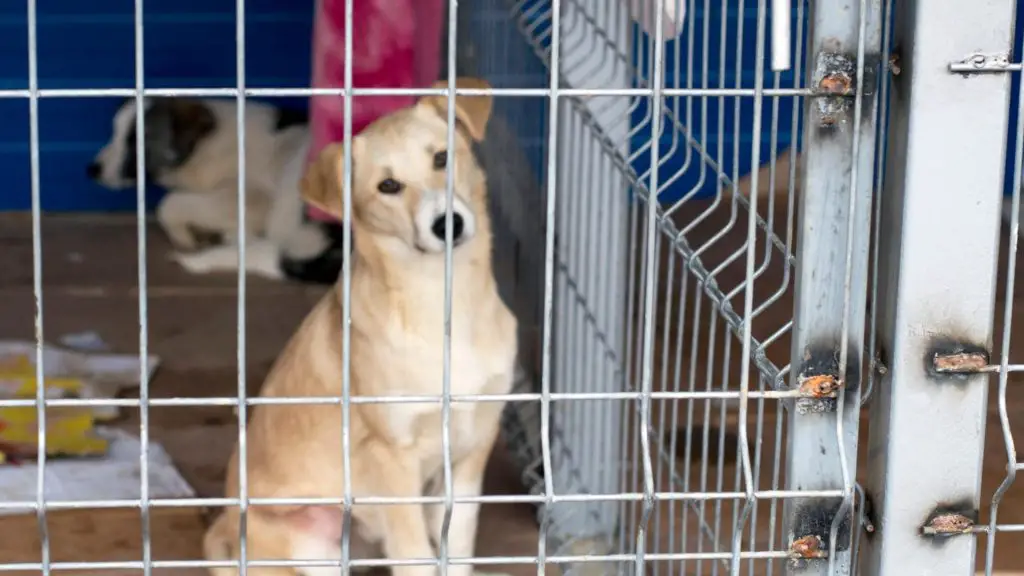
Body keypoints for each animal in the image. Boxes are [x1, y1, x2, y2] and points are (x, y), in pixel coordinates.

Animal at [89, 97, 344, 282]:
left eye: (135, 142)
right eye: (114, 134)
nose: (91, 170)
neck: (202, 147)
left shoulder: (254, 197)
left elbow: (170, 203)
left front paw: (182, 235)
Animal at [200, 77, 520, 573]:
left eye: (442, 157)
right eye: (388, 185)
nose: (447, 224)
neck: (443, 305)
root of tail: (225, 535)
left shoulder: (472, 448)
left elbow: (458, 545)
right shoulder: (392, 459)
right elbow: (415, 556)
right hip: (315, 537)